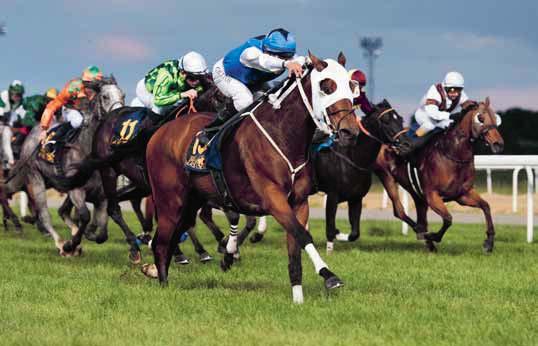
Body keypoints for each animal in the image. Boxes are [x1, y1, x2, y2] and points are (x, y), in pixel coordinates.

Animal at [144, 52, 358, 302]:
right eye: (326, 86)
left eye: (350, 85)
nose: (350, 131)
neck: (283, 135)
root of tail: (159, 133)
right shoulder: (273, 198)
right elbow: (302, 235)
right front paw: (329, 275)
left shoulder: (299, 202)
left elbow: (295, 245)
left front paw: (297, 297)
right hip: (170, 201)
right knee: (161, 242)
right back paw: (163, 284)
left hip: (191, 202)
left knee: (176, 234)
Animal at [372, 97, 502, 251]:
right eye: (480, 118)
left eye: (495, 117)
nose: (499, 144)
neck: (452, 154)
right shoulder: (432, 195)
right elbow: (448, 219)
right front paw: (432, 236)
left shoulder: (462, 194)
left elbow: (486, 206)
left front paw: (489, 242)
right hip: (386, 176)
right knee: (400, 211)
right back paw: (423, 234)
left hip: (417, 194)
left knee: (419, 217)